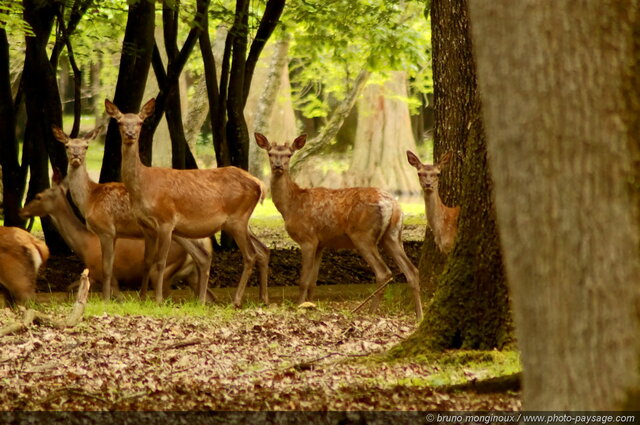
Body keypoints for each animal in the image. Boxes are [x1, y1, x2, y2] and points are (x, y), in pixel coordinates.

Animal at [19, 181, 210, 300]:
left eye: (38, 196)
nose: (22, 211)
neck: (84, 245)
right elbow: (69, 288)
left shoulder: (106, 275)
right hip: (189, 274)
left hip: (164, 271)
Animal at [52, 124, 212, 300]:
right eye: (67, 146)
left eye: (86, 146)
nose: (76, 156)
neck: (90, 199)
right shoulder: (114, 233)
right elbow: (110, 266)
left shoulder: (106, 229)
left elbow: (106, 268)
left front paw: (105, 299)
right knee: (202, 257)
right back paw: (200, 300)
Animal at [106, 98, 272, 306]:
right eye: (120, 122)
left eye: (140, 122)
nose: (130, 134)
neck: (143, 186)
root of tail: (259, 184)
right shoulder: (146, 226)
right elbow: (147, 261)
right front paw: (143, 298)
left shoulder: (166, 221)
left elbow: (160, 262)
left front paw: (158, 299)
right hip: (240, 221)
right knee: (263, 250)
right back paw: (263, 298)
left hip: (238, 218)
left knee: (250, 255)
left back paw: (236, 300)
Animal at [255, 132, 424, 318]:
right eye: (270, 153)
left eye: (289, 154)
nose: (278, 165)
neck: (291, 206)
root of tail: (393, 205)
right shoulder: (320, 243)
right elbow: (313, 281)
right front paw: (310, 305)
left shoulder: (308, 238)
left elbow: (303, 280)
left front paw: (299, 306)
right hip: (393, 235)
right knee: (412, 271)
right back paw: (419, 314)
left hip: (363, 235)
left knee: (383, 272)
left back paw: (369, 312)